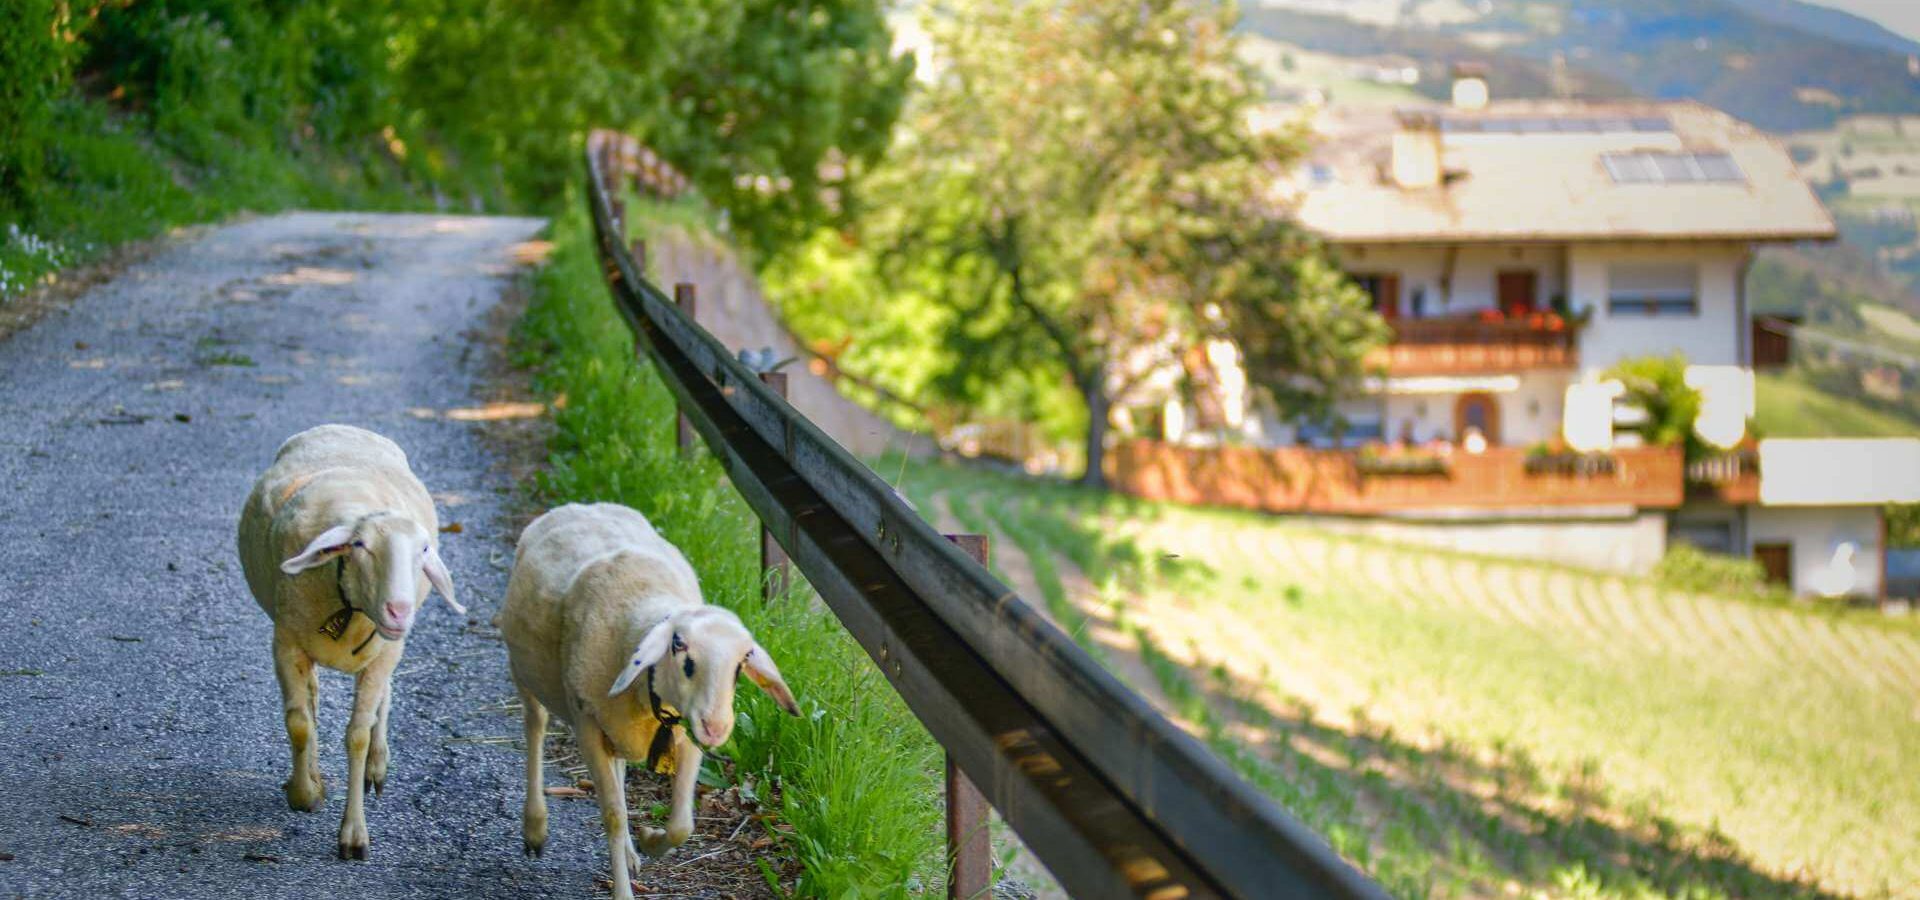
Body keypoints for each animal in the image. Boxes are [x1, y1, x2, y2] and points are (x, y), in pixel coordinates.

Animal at [238, 424, 462, 859]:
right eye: (360, 545)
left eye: (424, 550)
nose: (399, 610)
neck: (351, 607)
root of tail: (345, 427)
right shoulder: (286, 643)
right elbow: (299, 724)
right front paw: (305, 793)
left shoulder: (383, 654)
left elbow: (358, 734)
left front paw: (354, 833)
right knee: (311, 699)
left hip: (386, 652)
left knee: (382, 700)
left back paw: (377, 764)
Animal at [499, 502, 798, 894]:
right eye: (678, 645)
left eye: (741, 662)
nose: (716, 727)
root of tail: (583, 505)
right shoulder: (587, 724)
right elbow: (612, 815)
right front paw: (623, 890)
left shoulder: (685, 733)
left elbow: (682, 824)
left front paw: (649, 839)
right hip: (524, 672)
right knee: (535, 726)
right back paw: (535, 827)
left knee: (618, 765)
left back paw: (628, 850)